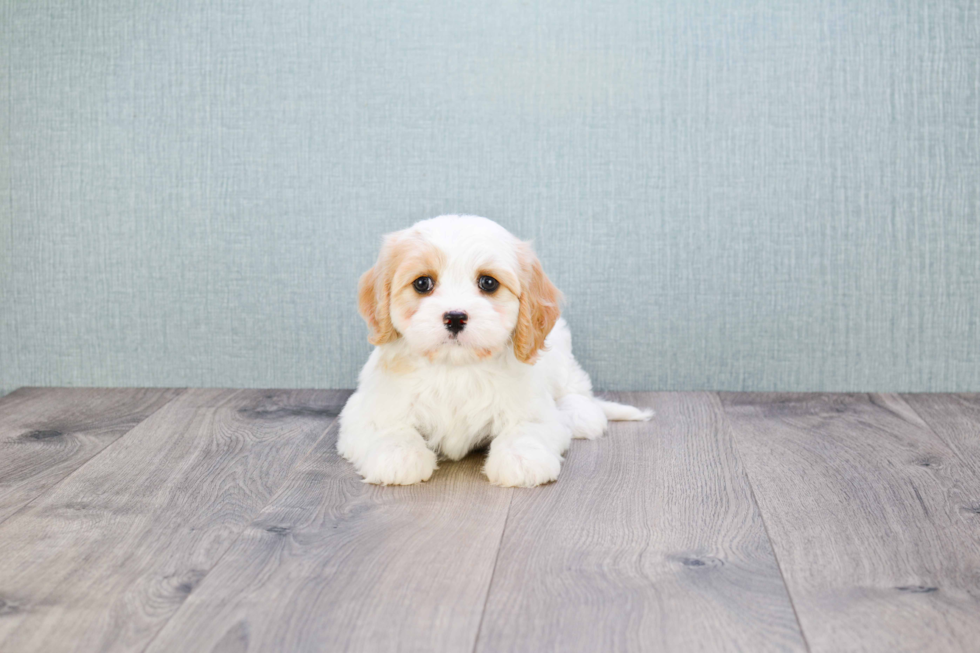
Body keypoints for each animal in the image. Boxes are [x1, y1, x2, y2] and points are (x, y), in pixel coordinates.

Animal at [336, 216, 652, 486]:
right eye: (422, 283)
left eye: (488, 282)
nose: (455, 317)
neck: (455, 368)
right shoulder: (368, 406)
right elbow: (388, 426)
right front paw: (398, 455)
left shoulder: (531, 407)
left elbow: (526, 428)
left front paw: (521, 459)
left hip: (562, 355)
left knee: (577, 390)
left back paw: (580, 415)